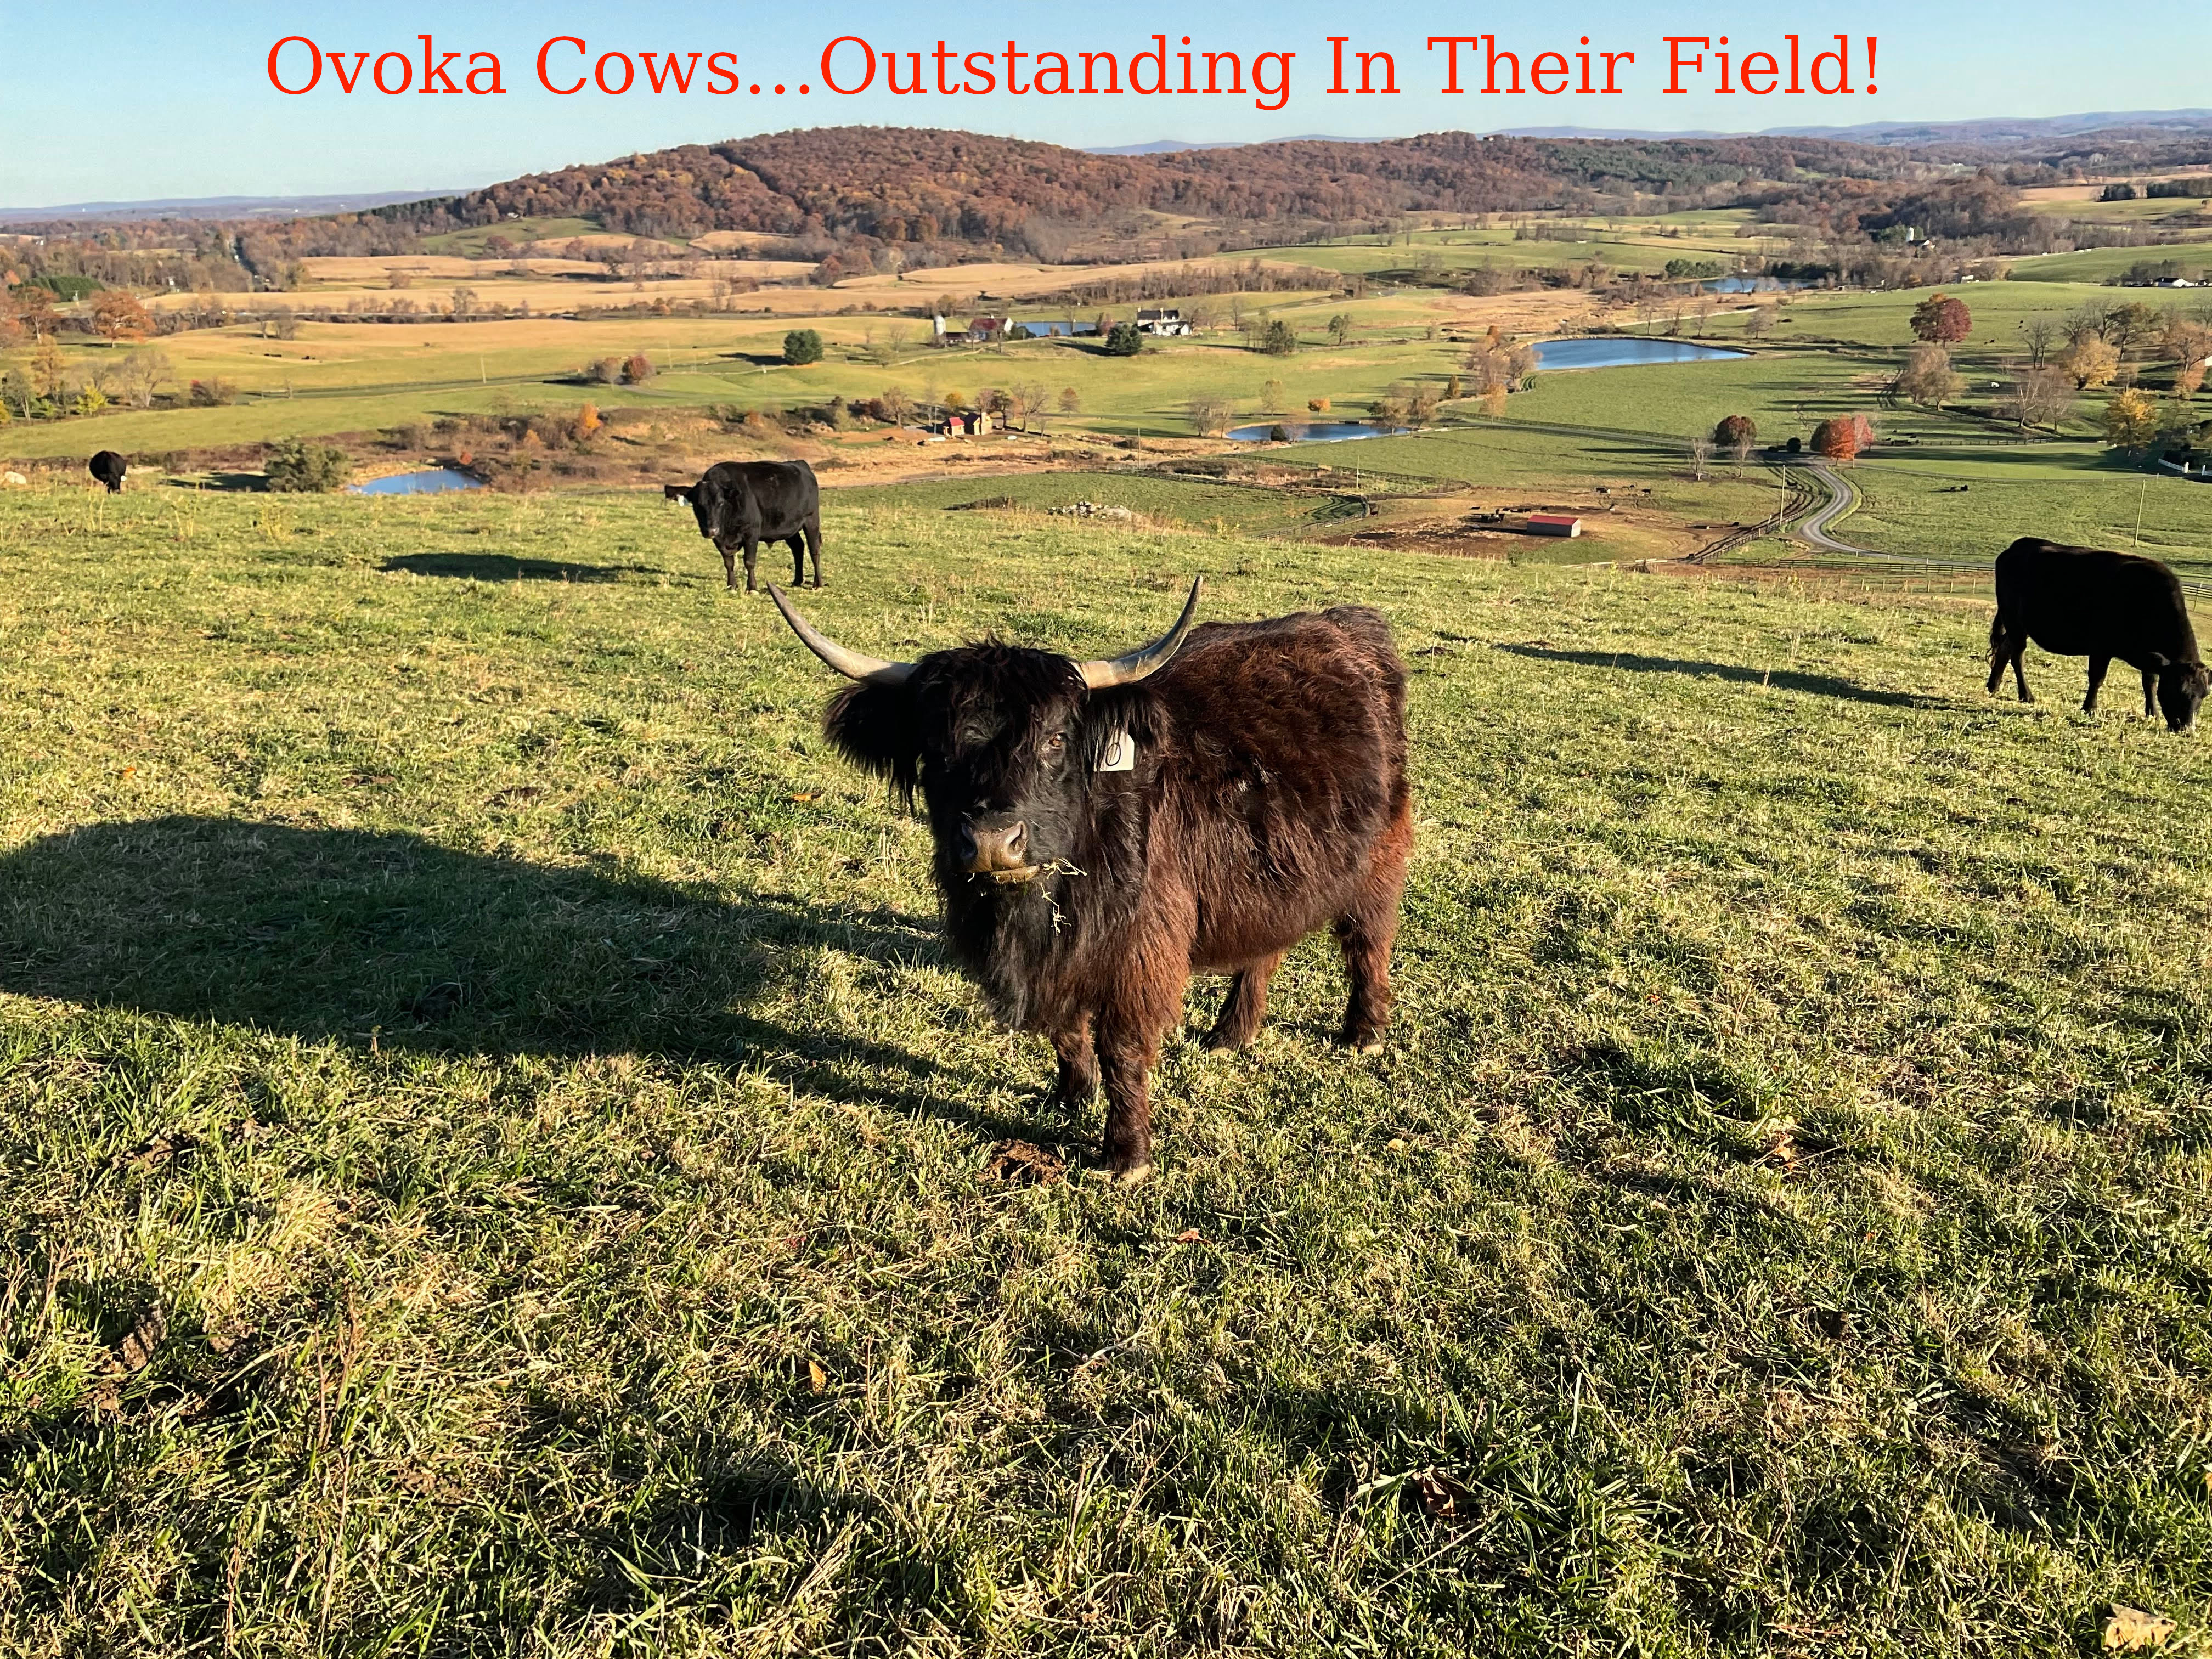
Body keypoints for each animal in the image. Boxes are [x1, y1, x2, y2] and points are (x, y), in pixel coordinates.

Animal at [668, 462, 827, 597]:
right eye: (698, 505)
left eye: (721, 503)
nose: (711, 531)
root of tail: (801, 465)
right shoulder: (720, 541)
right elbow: (729, 563)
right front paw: (731, 586)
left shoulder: (751, 534)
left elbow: (749, 561)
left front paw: (752, 588)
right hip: (789, 528)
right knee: (798, 549)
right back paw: (797, 581)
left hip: (811, 520)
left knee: (814, 550)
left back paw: (818, 584)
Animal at [770, 579, 1407, 1186]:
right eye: (934, 748)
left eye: (1055, 739)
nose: (993, 842)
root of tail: (1343, 622)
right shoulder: (1058, 959)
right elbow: (1066, 1030)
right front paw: (1071, 1096)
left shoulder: (1138, 954)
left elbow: (1121, 1047)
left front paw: (1126, 1155)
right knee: (1264, 949)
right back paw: (1231, 1032)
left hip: (1381, 856)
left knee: (1368, 940)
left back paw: (1364, 1031)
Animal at [1999, 539, 2203, 734]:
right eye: (2178, 690)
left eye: (2204, 695)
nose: (2187, 729)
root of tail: (2016, 546)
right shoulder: (2101, 648)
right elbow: (2097, 677)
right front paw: (2090, 709)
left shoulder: (2151, 657)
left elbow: (2150, 683)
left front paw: (2153, 713)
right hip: (2014, 621)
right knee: (2017, 657)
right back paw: (2026, 695)